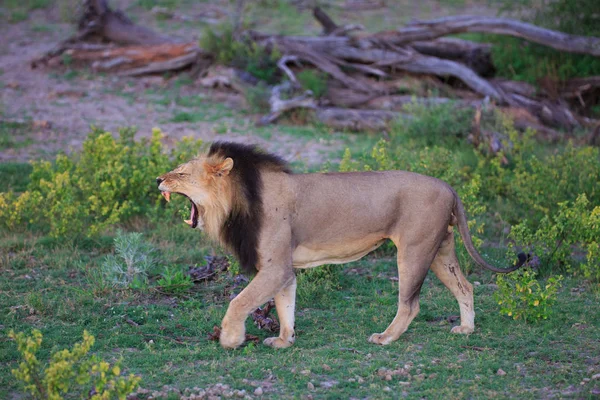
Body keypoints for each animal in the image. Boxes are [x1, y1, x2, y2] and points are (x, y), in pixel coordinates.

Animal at [156, 142, 524, 348]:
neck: (234, 203)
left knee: (411, 304)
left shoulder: (274, 267)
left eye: (182, 173)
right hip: (441, 249)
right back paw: (466, 329)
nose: (159, 179)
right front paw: (284, 341)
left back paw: (386, 338)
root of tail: (449, 186)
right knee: (465, 286)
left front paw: (231, 339)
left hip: (414, 249)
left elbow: (239, 301)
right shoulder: (283, 269)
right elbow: (285, 306)